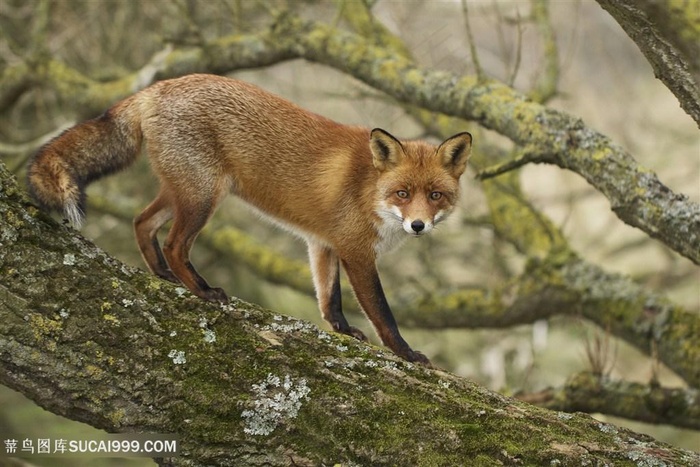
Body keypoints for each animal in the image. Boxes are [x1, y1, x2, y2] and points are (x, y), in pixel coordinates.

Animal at [30, 74, 474, 366]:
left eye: (435, 196)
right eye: (402, 194)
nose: (418, 226)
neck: (369, 189)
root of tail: (160, 86)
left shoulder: (323, 243)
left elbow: (328, 298)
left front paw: (343, 330)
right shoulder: (356, 251)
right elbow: (382, 313)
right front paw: (406, 353)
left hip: (183, 193)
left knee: (141, 222)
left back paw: (163, 277)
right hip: (203, 198)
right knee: (174, 244)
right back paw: (202, 290)